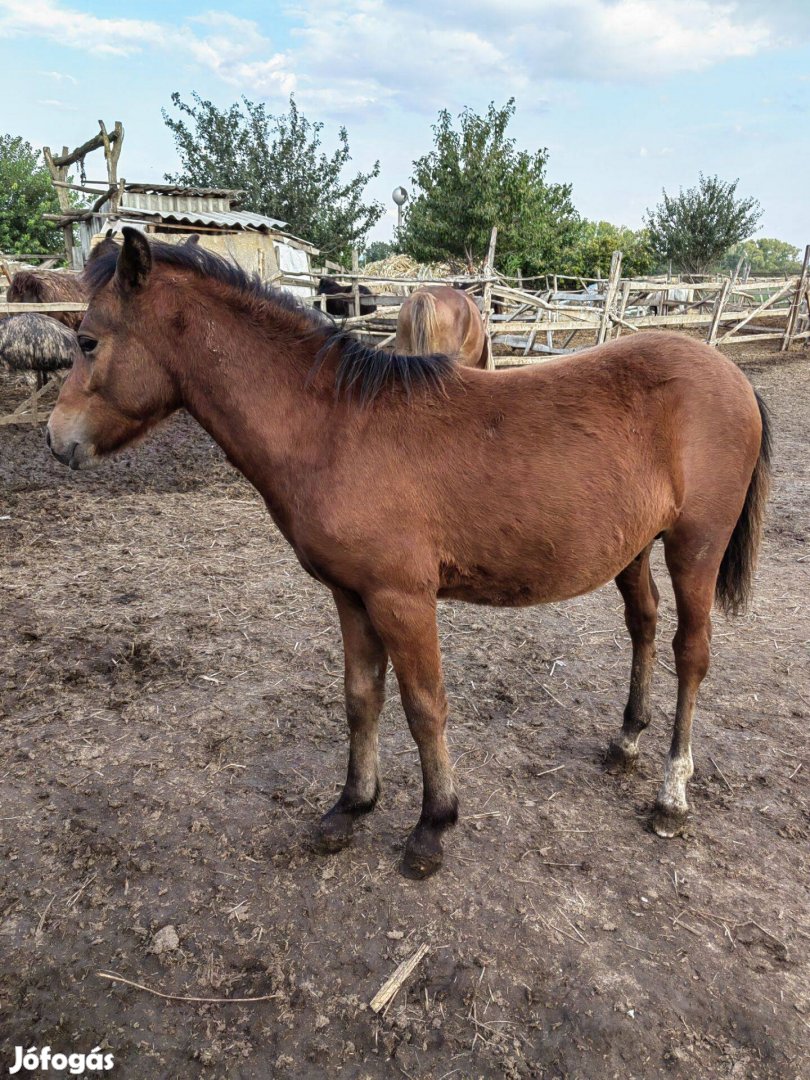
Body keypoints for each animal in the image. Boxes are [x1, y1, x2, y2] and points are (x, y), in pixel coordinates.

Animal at [47, 227, 768, 876]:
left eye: (88, 340)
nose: (57, 441)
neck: (336, 429)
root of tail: (730, 375)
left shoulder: (403, 599)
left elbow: (425, 707)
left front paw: (432, 826)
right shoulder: (350, 595)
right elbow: (361, 697)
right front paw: (350, 807)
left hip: (695, 547)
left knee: (691, 653)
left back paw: (672, 794)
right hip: (633, 548)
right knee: (642, 624)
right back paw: (626, 741)